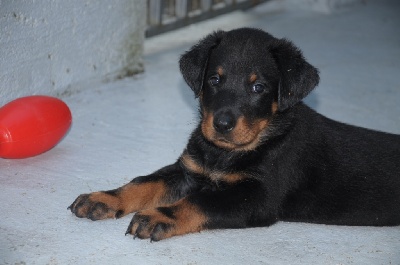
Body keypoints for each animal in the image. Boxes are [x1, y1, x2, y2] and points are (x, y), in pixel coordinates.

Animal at [69, 27, 400, 240]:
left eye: (258, 87)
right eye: (215, 79)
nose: (222, 124)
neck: (227, 153)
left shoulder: (257, 197)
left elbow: (200, 202)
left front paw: (159, 215)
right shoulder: (188, 170)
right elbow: (144, 182)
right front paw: (104, 198)